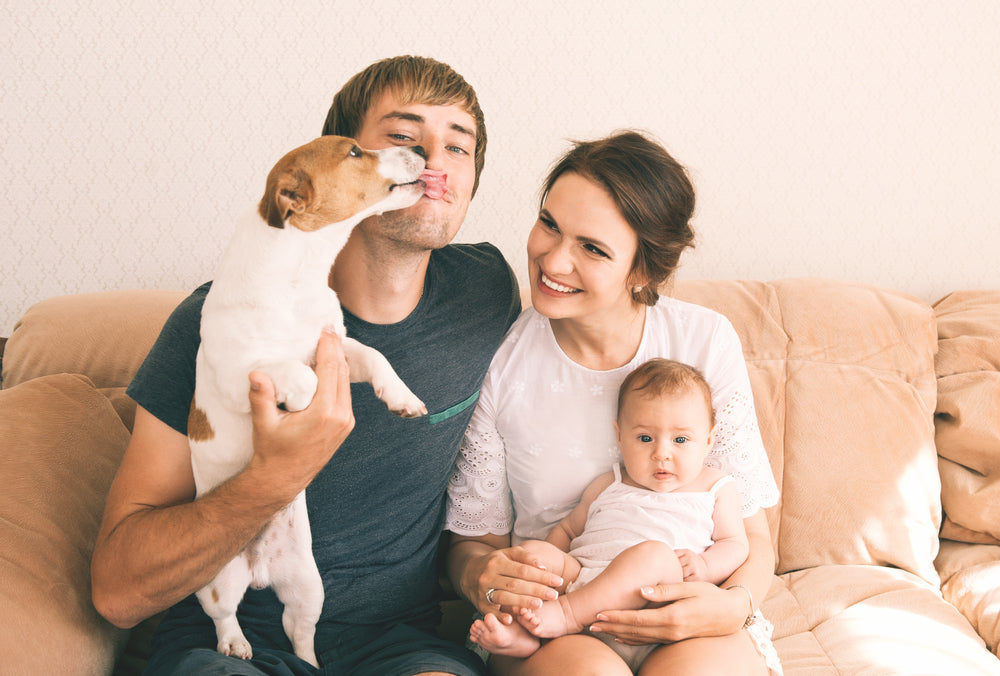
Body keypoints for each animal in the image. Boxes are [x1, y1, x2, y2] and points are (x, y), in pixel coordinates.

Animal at [188, 136, 438, 664]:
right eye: (355, 151)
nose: (424, 151)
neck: (298, 273)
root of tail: (260, 572)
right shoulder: (239, 373)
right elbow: (296, 374)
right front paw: (304, 401)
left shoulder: (338, 347)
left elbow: (378, 357)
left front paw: (402, 397)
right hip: (216, 578)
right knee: (224, 615)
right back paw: (235, 644)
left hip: (308, 585)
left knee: (297, 629)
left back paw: (309, 662)